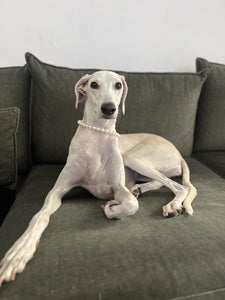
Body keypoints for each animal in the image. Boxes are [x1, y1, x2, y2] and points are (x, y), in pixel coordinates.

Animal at [0, 71, 196, 284]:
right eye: (93, 84)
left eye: (118, 85)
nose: (109, 108)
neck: (98, 136)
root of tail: (178, 152)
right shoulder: (57, 190)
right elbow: (40, 215)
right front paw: (19, 252)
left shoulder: (119, 187)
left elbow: (131, 205)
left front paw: (112, 207)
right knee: (164, 183)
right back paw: (142, 190)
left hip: (134, 157)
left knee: (179, 186)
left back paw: (172, 205)